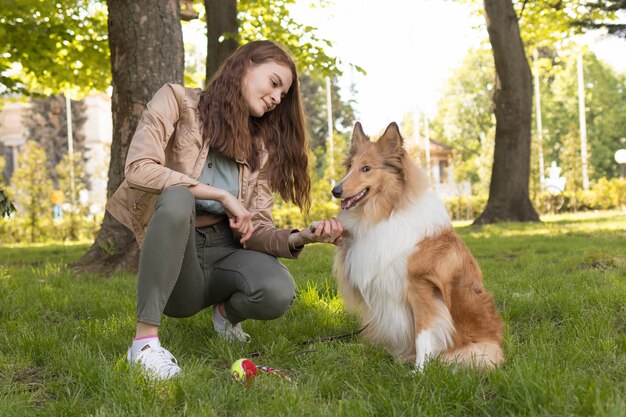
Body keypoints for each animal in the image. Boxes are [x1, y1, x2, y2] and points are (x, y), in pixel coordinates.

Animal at [332, 121, 502, 370]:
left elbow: (423, 334)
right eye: (349, 167)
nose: (335, 191)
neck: (388, 212)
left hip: (482, 351)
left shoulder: (421, 290)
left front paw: (419, 372)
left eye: (366, 168)